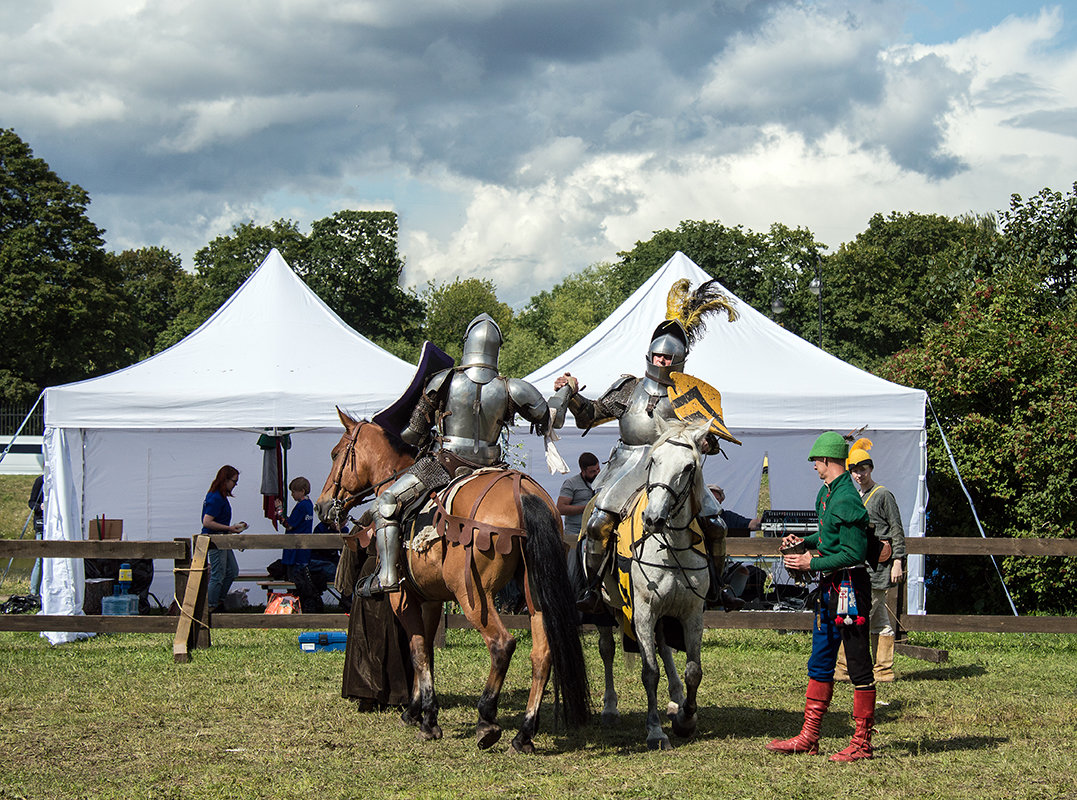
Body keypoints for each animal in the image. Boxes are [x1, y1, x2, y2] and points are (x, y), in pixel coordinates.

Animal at [314, 409, 594, 753]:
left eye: (336, 453)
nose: (322, 505)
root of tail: (522, 493)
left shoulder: (403, 598)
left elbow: (418, 649)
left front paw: (428, 720)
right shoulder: (431, 600)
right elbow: (426, 649)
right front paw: (416, 709)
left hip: (473, 595)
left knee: (501, 644)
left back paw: (487, 720)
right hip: (534, 593)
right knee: (542, 654)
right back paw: (524, 733)